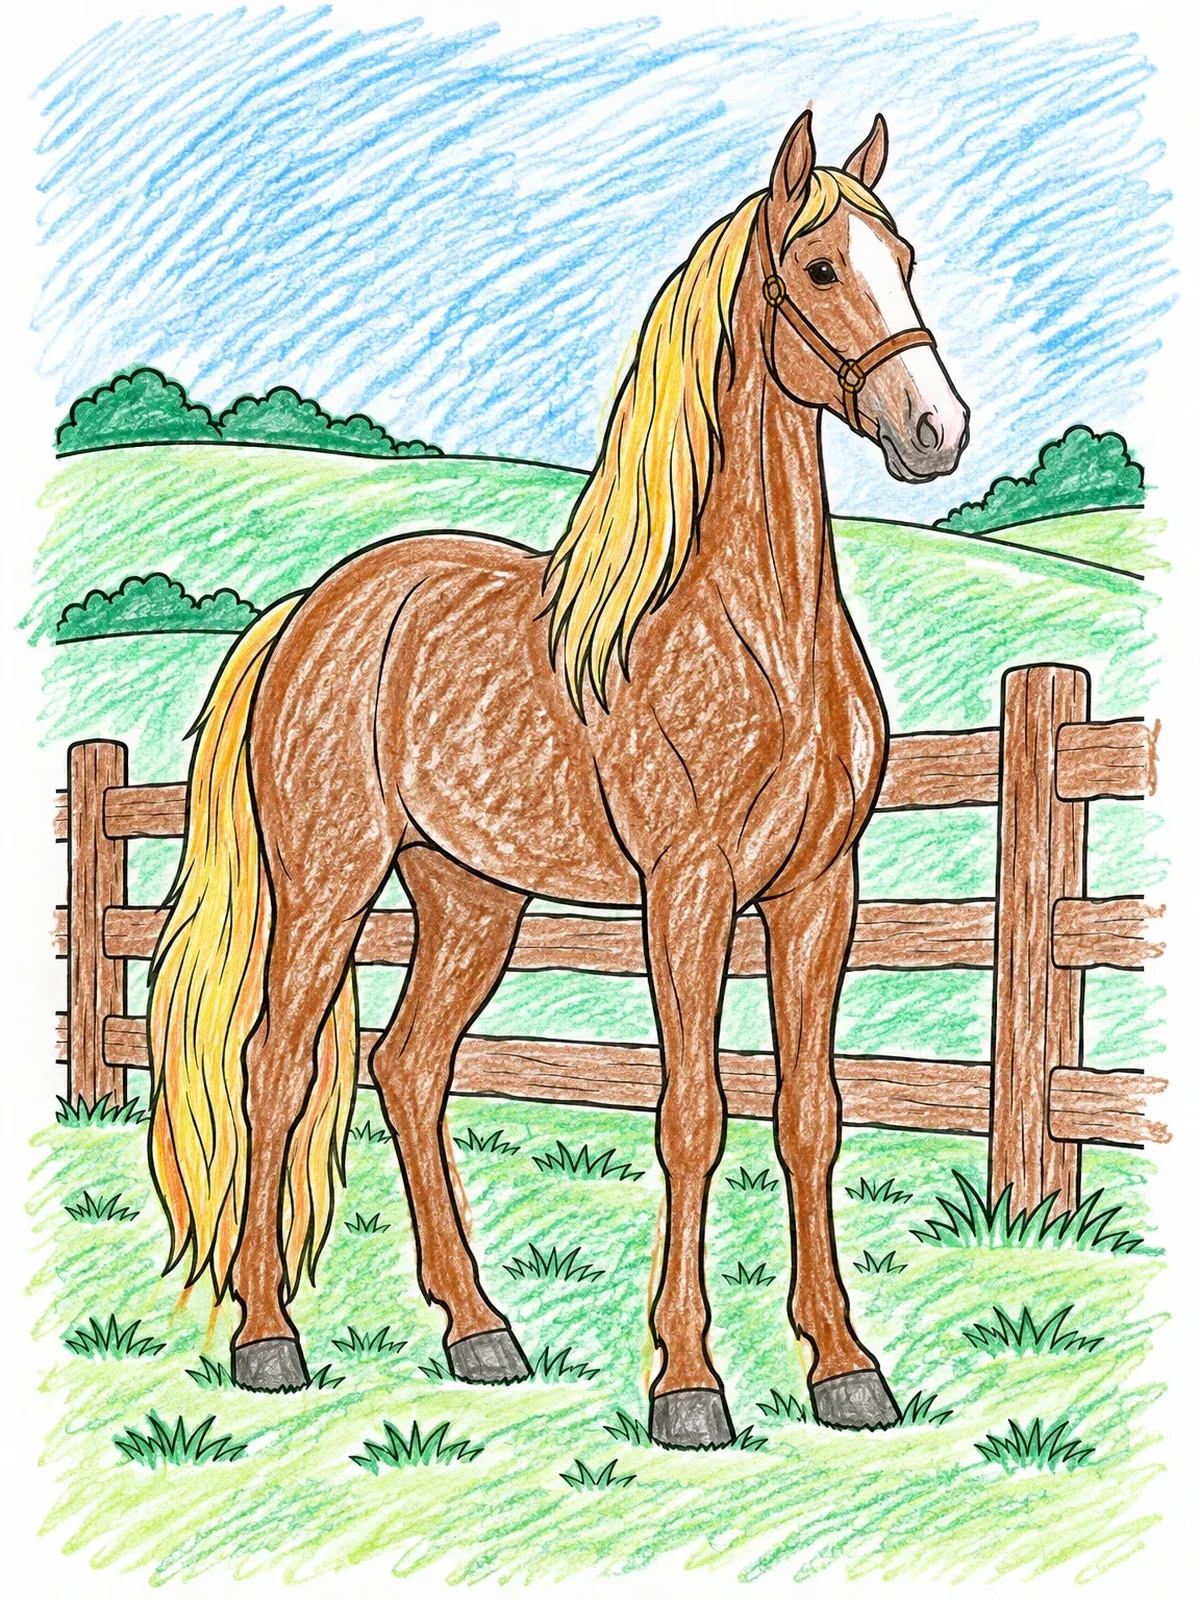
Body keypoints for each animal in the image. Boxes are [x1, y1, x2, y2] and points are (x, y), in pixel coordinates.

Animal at [148, 110, 968, 1450]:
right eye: (819, 268)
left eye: (903, 256)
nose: (935, 429)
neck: (756, 633)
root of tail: (309, 611)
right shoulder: (687, 894)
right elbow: (692, 1116)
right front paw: (687, 1386)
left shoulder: (817, 894)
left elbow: (811, 1114)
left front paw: (846, 1370)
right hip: (327, 886)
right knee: (277, 1068)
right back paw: (270, 1341)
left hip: (471, 899)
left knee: (407, 1068)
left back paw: (480, 1333)